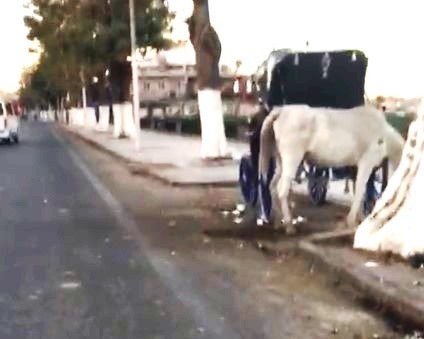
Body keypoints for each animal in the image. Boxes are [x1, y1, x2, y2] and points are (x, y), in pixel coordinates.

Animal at [258, 105, 404, 235]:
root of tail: (281, 111)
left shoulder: (355, 166)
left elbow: (357, 191)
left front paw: (359, 217)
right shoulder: (366, 162)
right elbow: (359, 190)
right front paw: (352, 221)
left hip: (280, 160)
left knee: (272, 186)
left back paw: (278, 222)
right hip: (292, 158)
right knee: (282, 189)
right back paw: (289, 226)